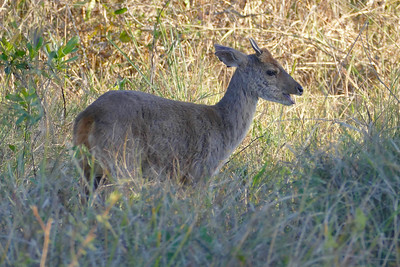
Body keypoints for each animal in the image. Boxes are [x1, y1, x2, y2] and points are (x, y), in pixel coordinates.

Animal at [72, 38, 304, 193]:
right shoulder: (200, 173)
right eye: (271, 71)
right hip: (122, 162)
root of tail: (87, 117)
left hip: (88, 167)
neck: (222, 125)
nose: (299, 88)